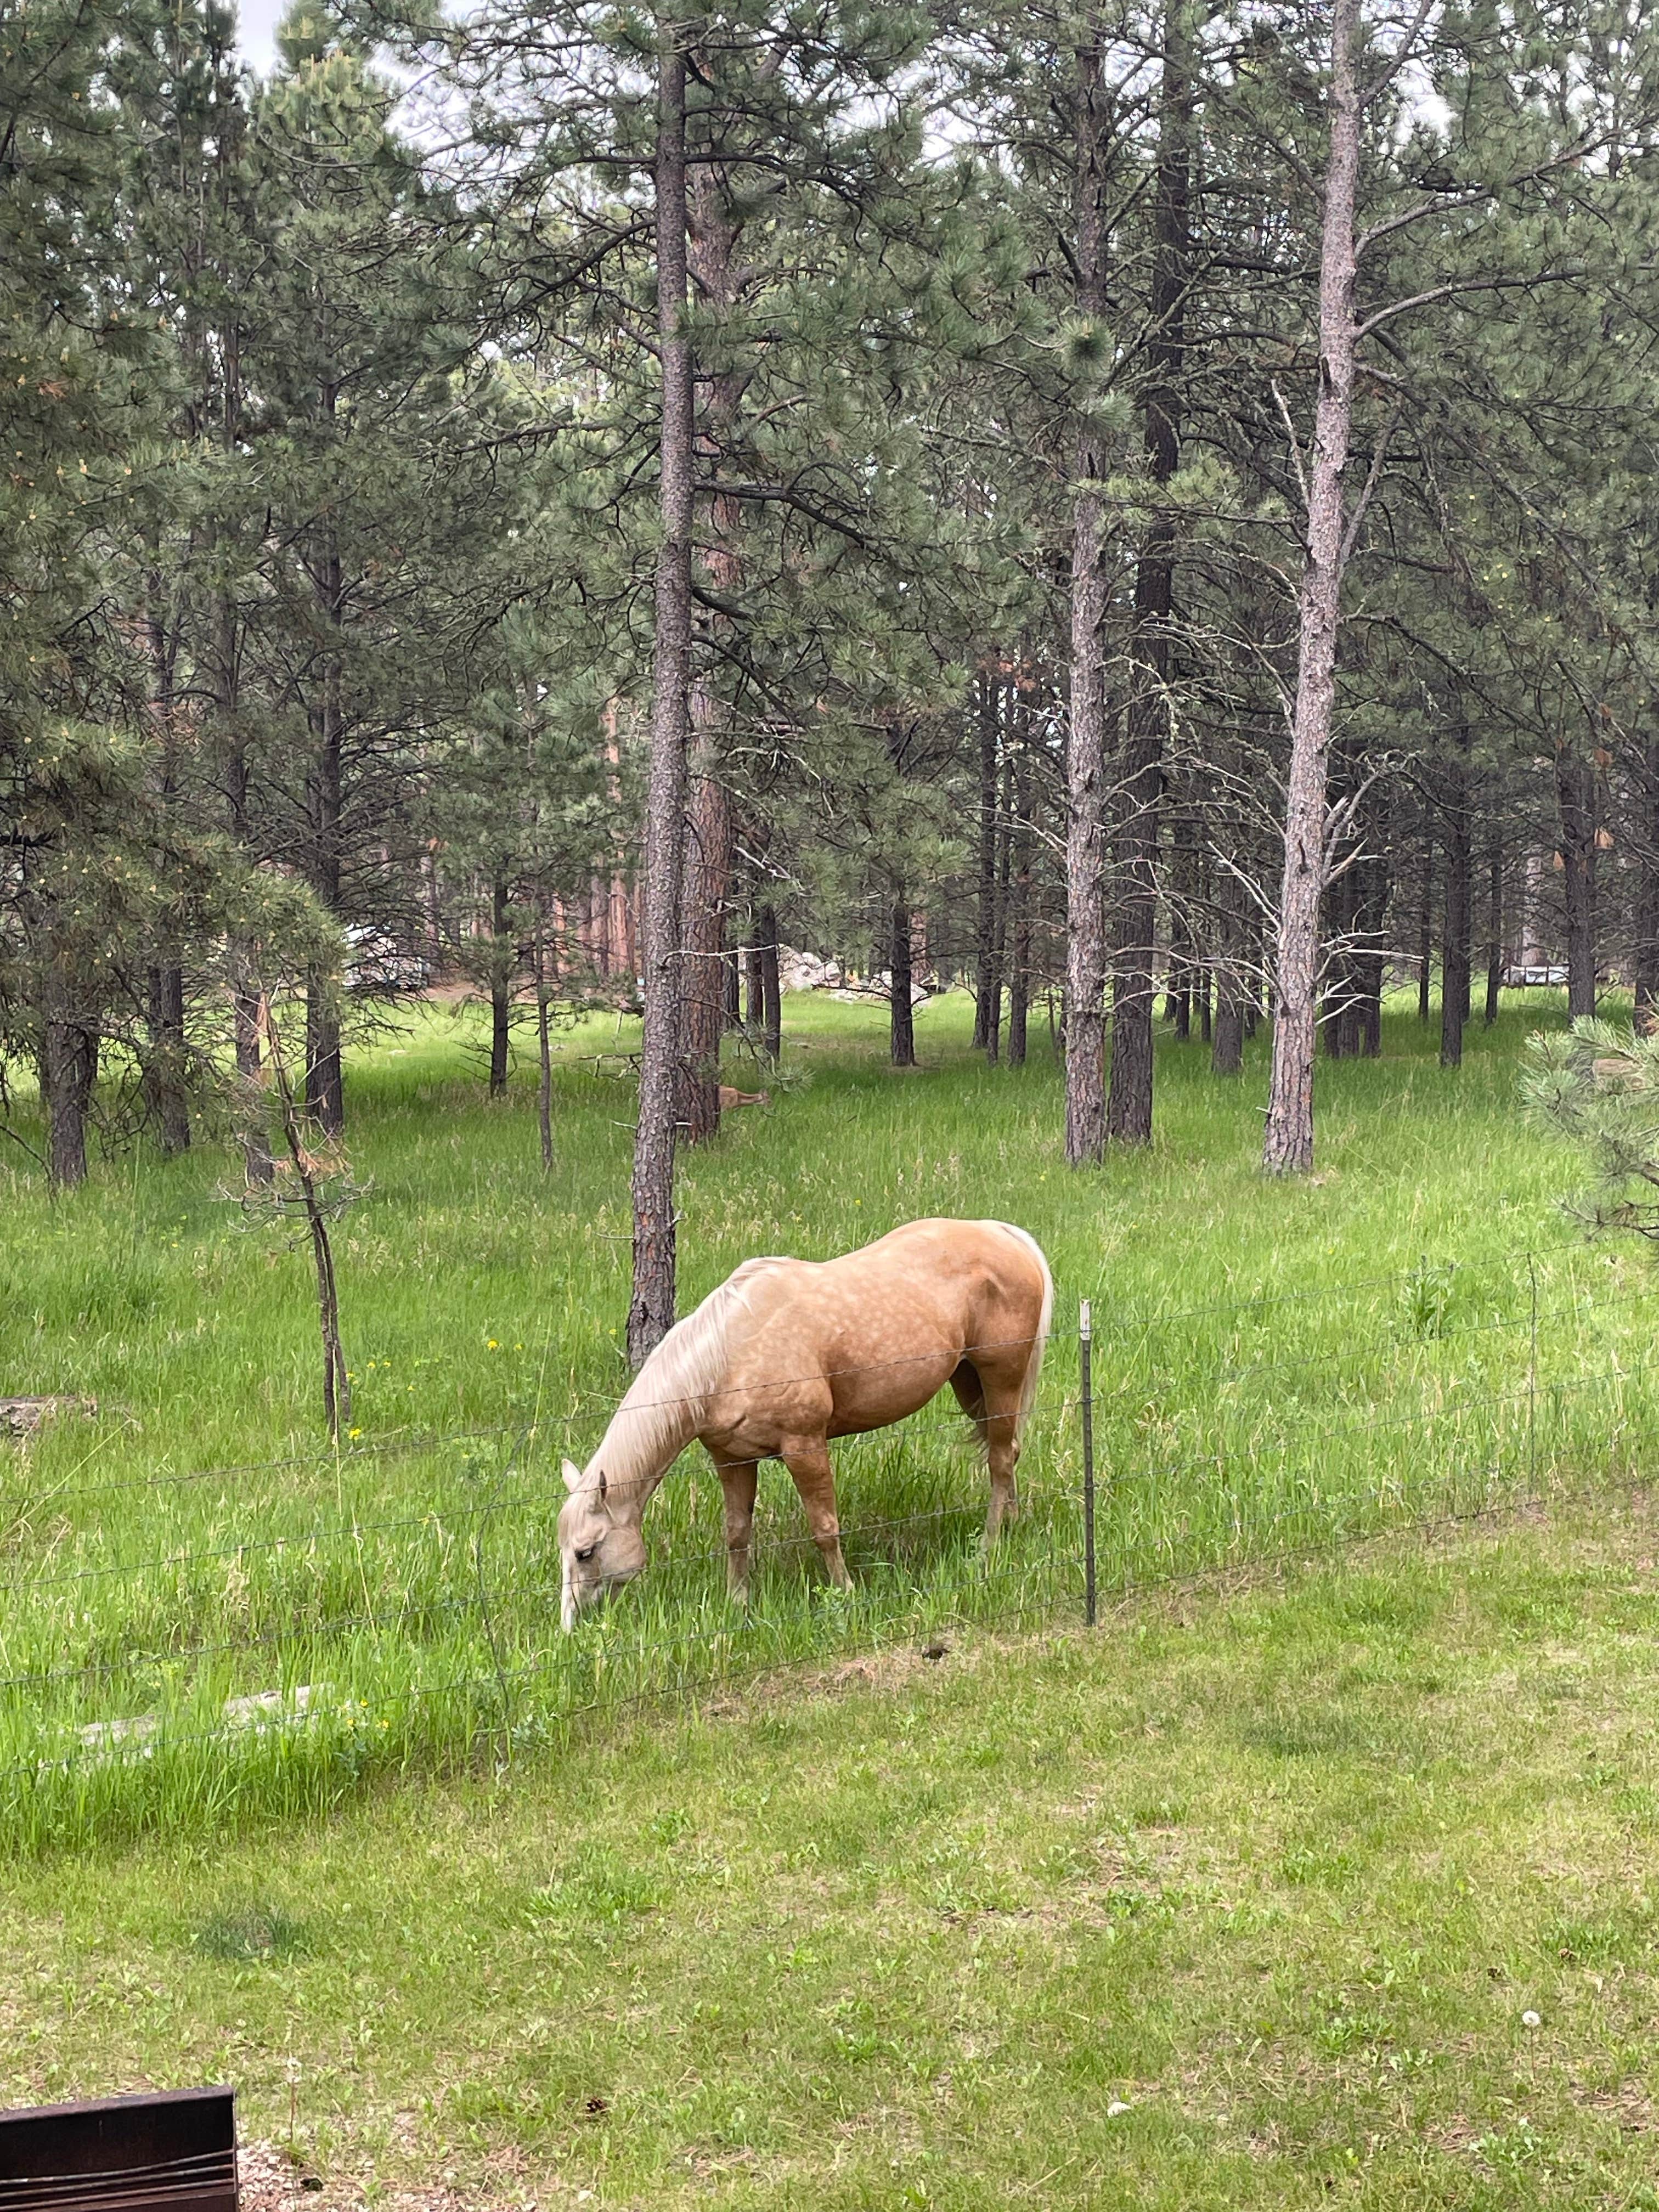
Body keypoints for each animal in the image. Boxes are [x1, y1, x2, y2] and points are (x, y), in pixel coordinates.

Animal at [557, 1217, 1053, 1629]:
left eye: (586, 1552)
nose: (570, 1625)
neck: (727, 1355)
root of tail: (1005, 1234)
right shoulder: (732, 1461)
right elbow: (737, 1533)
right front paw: (737, 1602)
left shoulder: (805, 1447)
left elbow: (825, 1527)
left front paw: (845, 1592)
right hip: (970, 1384)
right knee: (1007, 1450)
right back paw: (1014, 1522)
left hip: (1001, 1376)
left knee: (999, 1461)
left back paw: (989, 1545)